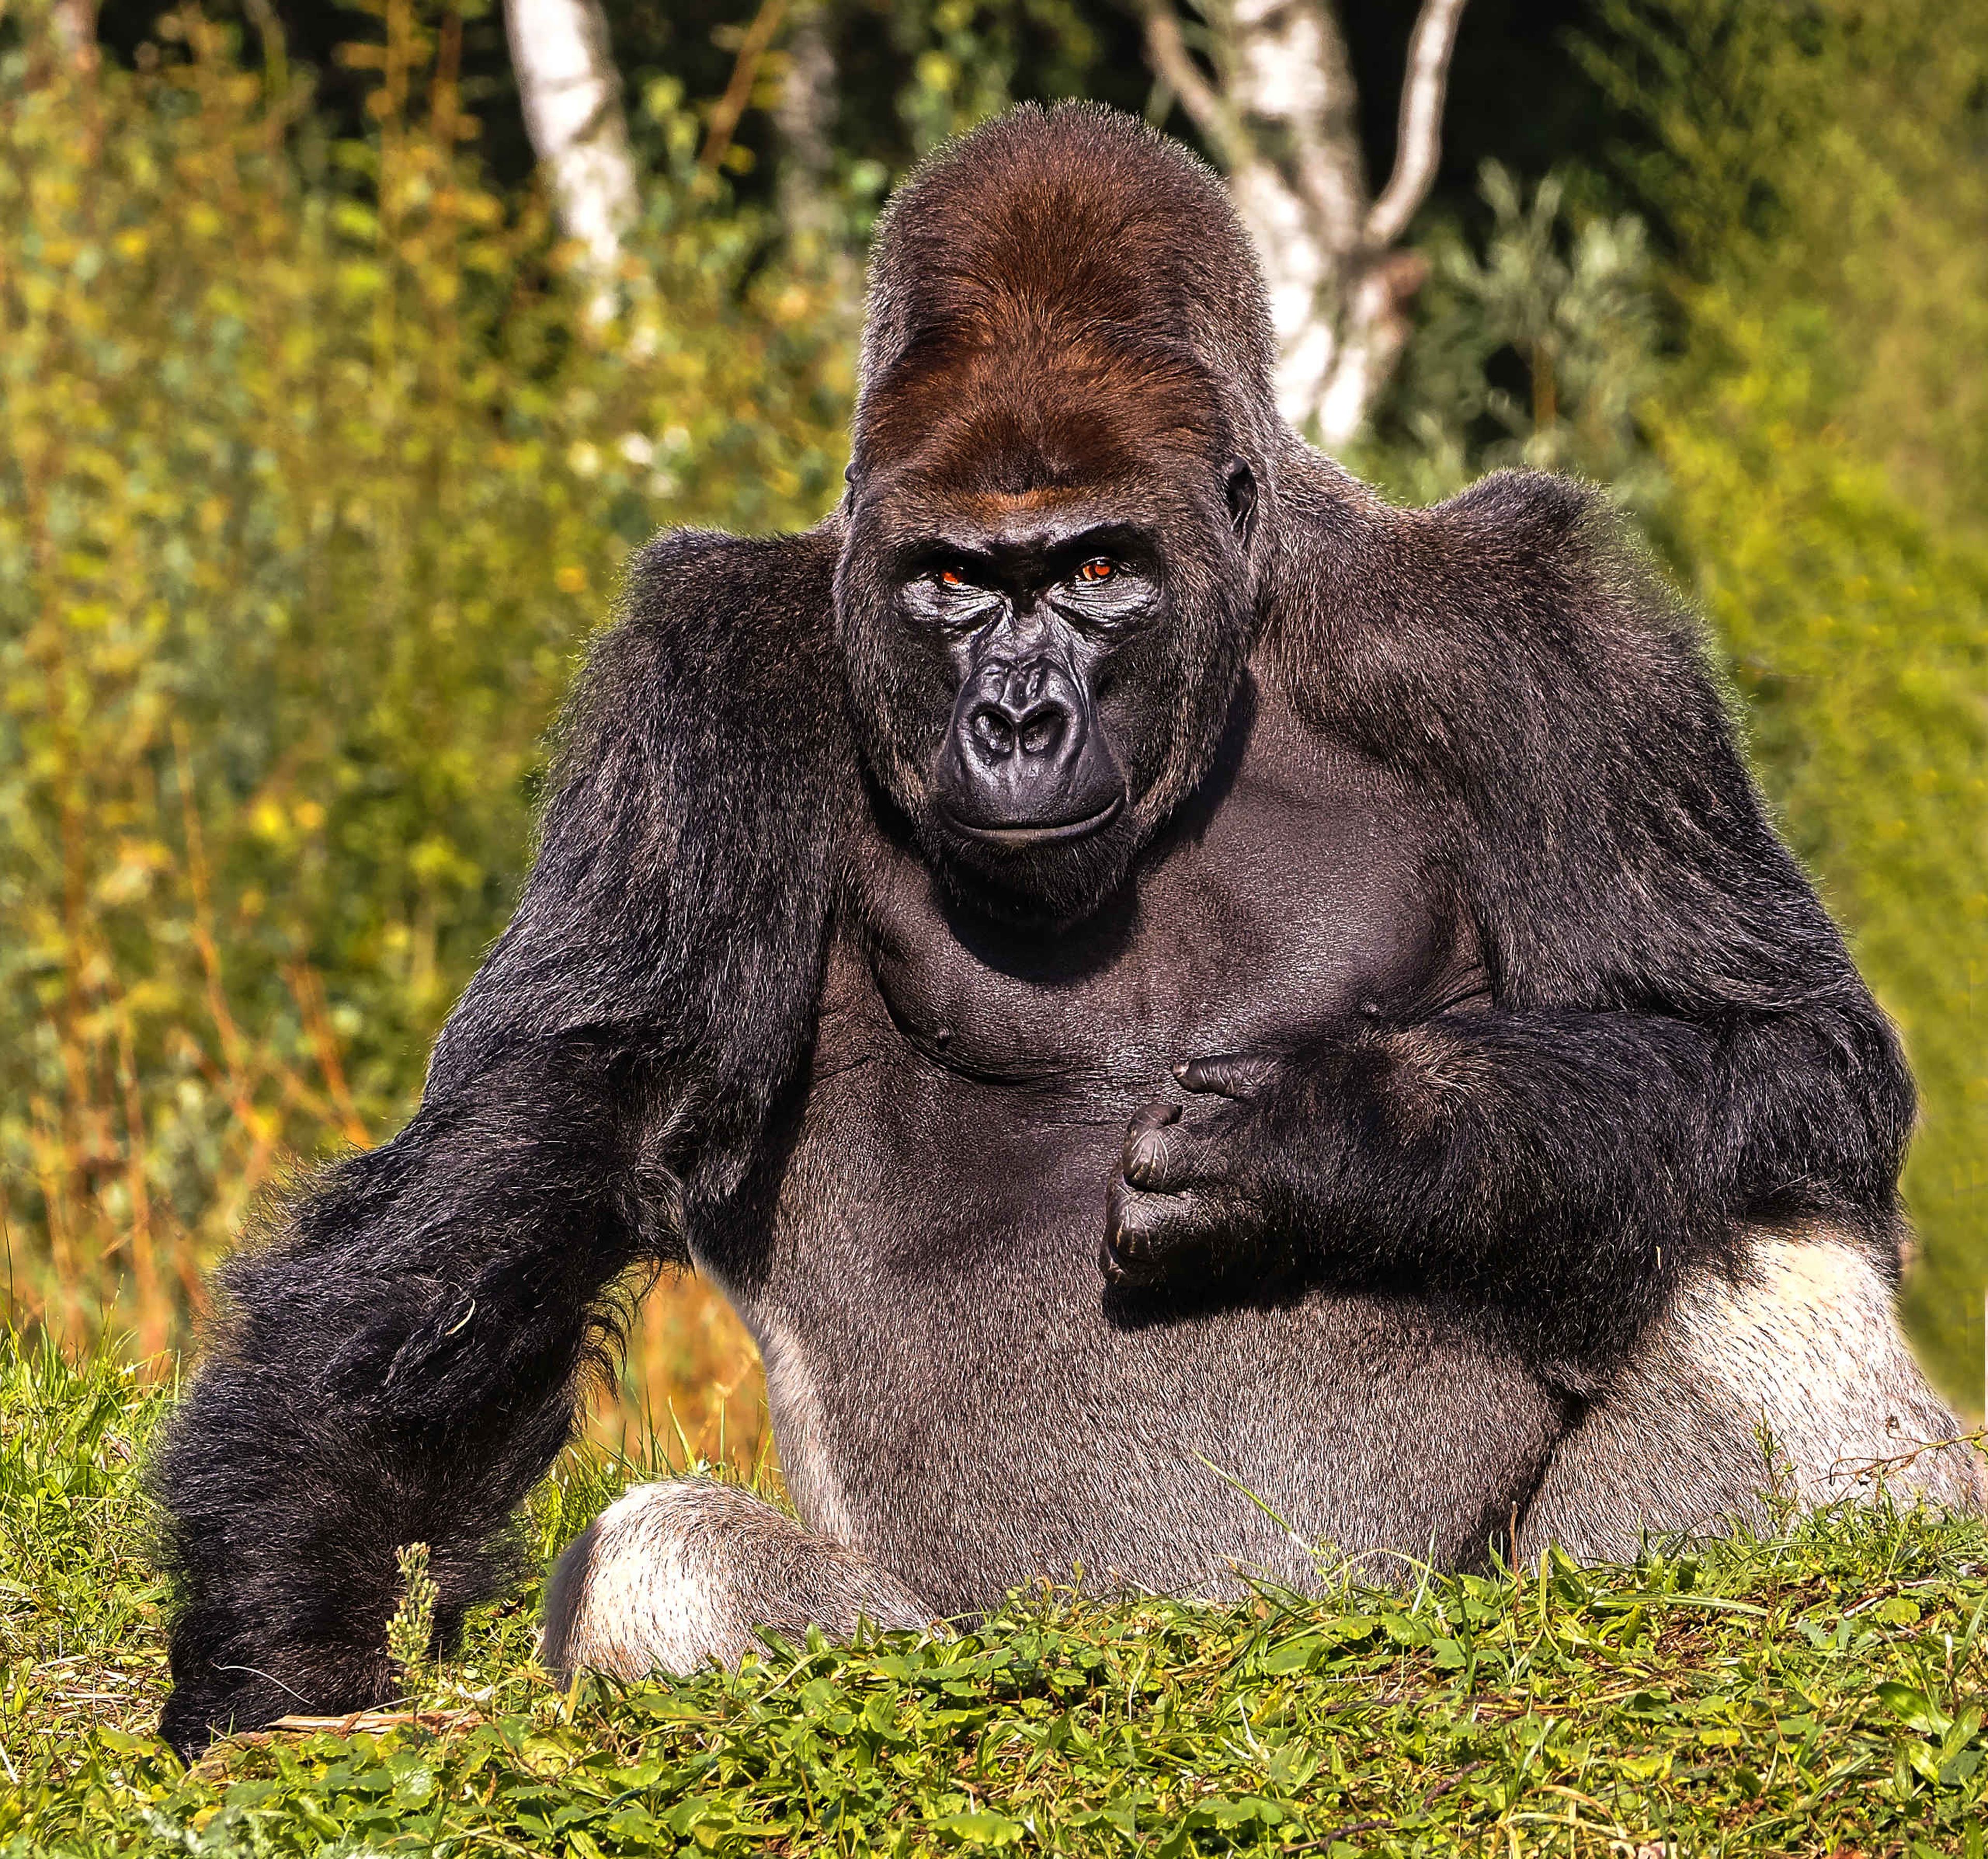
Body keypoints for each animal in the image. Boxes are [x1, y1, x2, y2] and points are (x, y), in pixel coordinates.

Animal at [153, 103, 1982, 1750]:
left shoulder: (1544, 633)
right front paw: (274, 1625)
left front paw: (1361, 1131)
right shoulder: (703, 678)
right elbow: (554, 1121)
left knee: (1745, 1197)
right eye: (956, 581)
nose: (1019, 719)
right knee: (663, 1566)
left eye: (1097, 569)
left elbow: (1780, 1042)